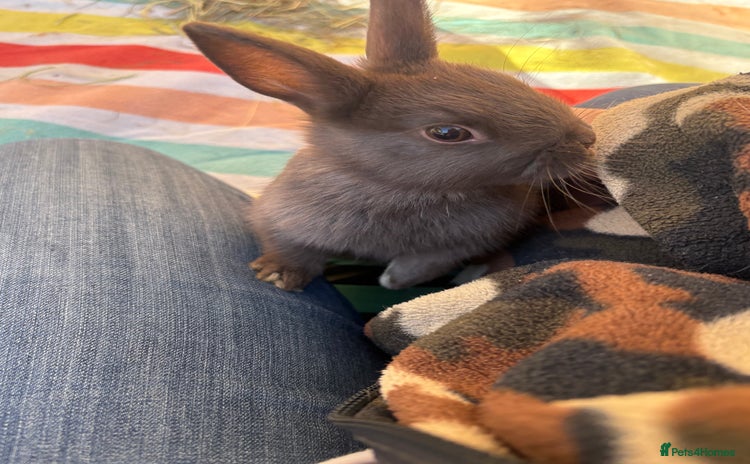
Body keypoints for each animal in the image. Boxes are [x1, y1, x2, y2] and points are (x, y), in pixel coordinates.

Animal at [183, 0, 596, 291]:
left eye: (503, 81)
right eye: (448, 133)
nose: (587, 139)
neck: (401, 191)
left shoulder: (474, 237)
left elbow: (431, 260)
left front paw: (393, 279)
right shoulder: (281, 215)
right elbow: (286, 242)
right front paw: (278, 274)